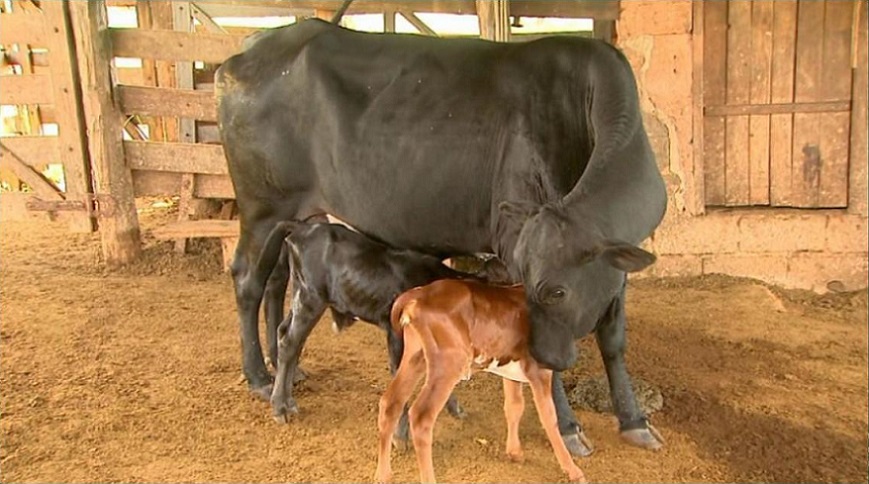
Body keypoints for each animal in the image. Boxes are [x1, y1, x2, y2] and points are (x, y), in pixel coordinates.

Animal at [215, 18, 664, 454]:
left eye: (559, 291)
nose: (544, 355)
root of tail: (252, 48)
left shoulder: (615, 266)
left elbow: (613, 338)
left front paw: (635, 421)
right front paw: (568, 427)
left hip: (292, 216)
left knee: (276, 281)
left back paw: (282, 367)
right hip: (262, 207)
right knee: (248, 279)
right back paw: (259, 376)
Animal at [374, 278, 588, 482]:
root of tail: (418, 294)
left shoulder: (510, 370)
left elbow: (514, 407)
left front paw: (515, 452)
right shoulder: (539, 370)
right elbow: (549, 417)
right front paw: (573, 471)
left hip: (415, 356)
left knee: (390, 402)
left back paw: (383, 475)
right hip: (449, 363)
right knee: (421, 415)